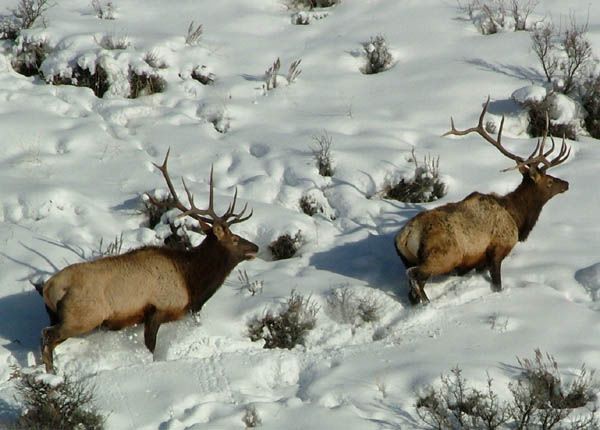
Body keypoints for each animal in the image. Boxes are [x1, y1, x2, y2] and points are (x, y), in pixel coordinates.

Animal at [37, 151, 258, 372]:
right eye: (235, 239)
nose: (255, 247)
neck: (190, 280)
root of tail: (48, 288)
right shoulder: (157, 308)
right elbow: (151, 346)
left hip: (61, 316)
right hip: (82, 317)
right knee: (47, 335)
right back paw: (52, 374)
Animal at [396, 98, 568, 304]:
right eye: (549, 181)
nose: (566, 184)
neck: (517, 217)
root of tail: (404, 236)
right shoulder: (497, 250)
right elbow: (497, 285)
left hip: (410, 258)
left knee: (411, 290)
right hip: (443, 257)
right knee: (414, 276)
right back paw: (428, 304)